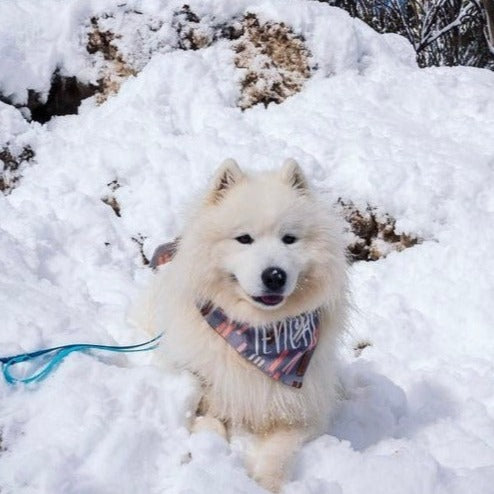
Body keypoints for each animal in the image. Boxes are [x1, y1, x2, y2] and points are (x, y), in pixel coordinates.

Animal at [138, 158, 348, 490]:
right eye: (244, 239)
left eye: (289, 238)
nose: (274, 275)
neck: (260, 332)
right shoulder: (202, 388)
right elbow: (210, 424)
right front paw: (211, 460)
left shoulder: (302, 411)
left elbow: (280, 451)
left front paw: (266, 482)